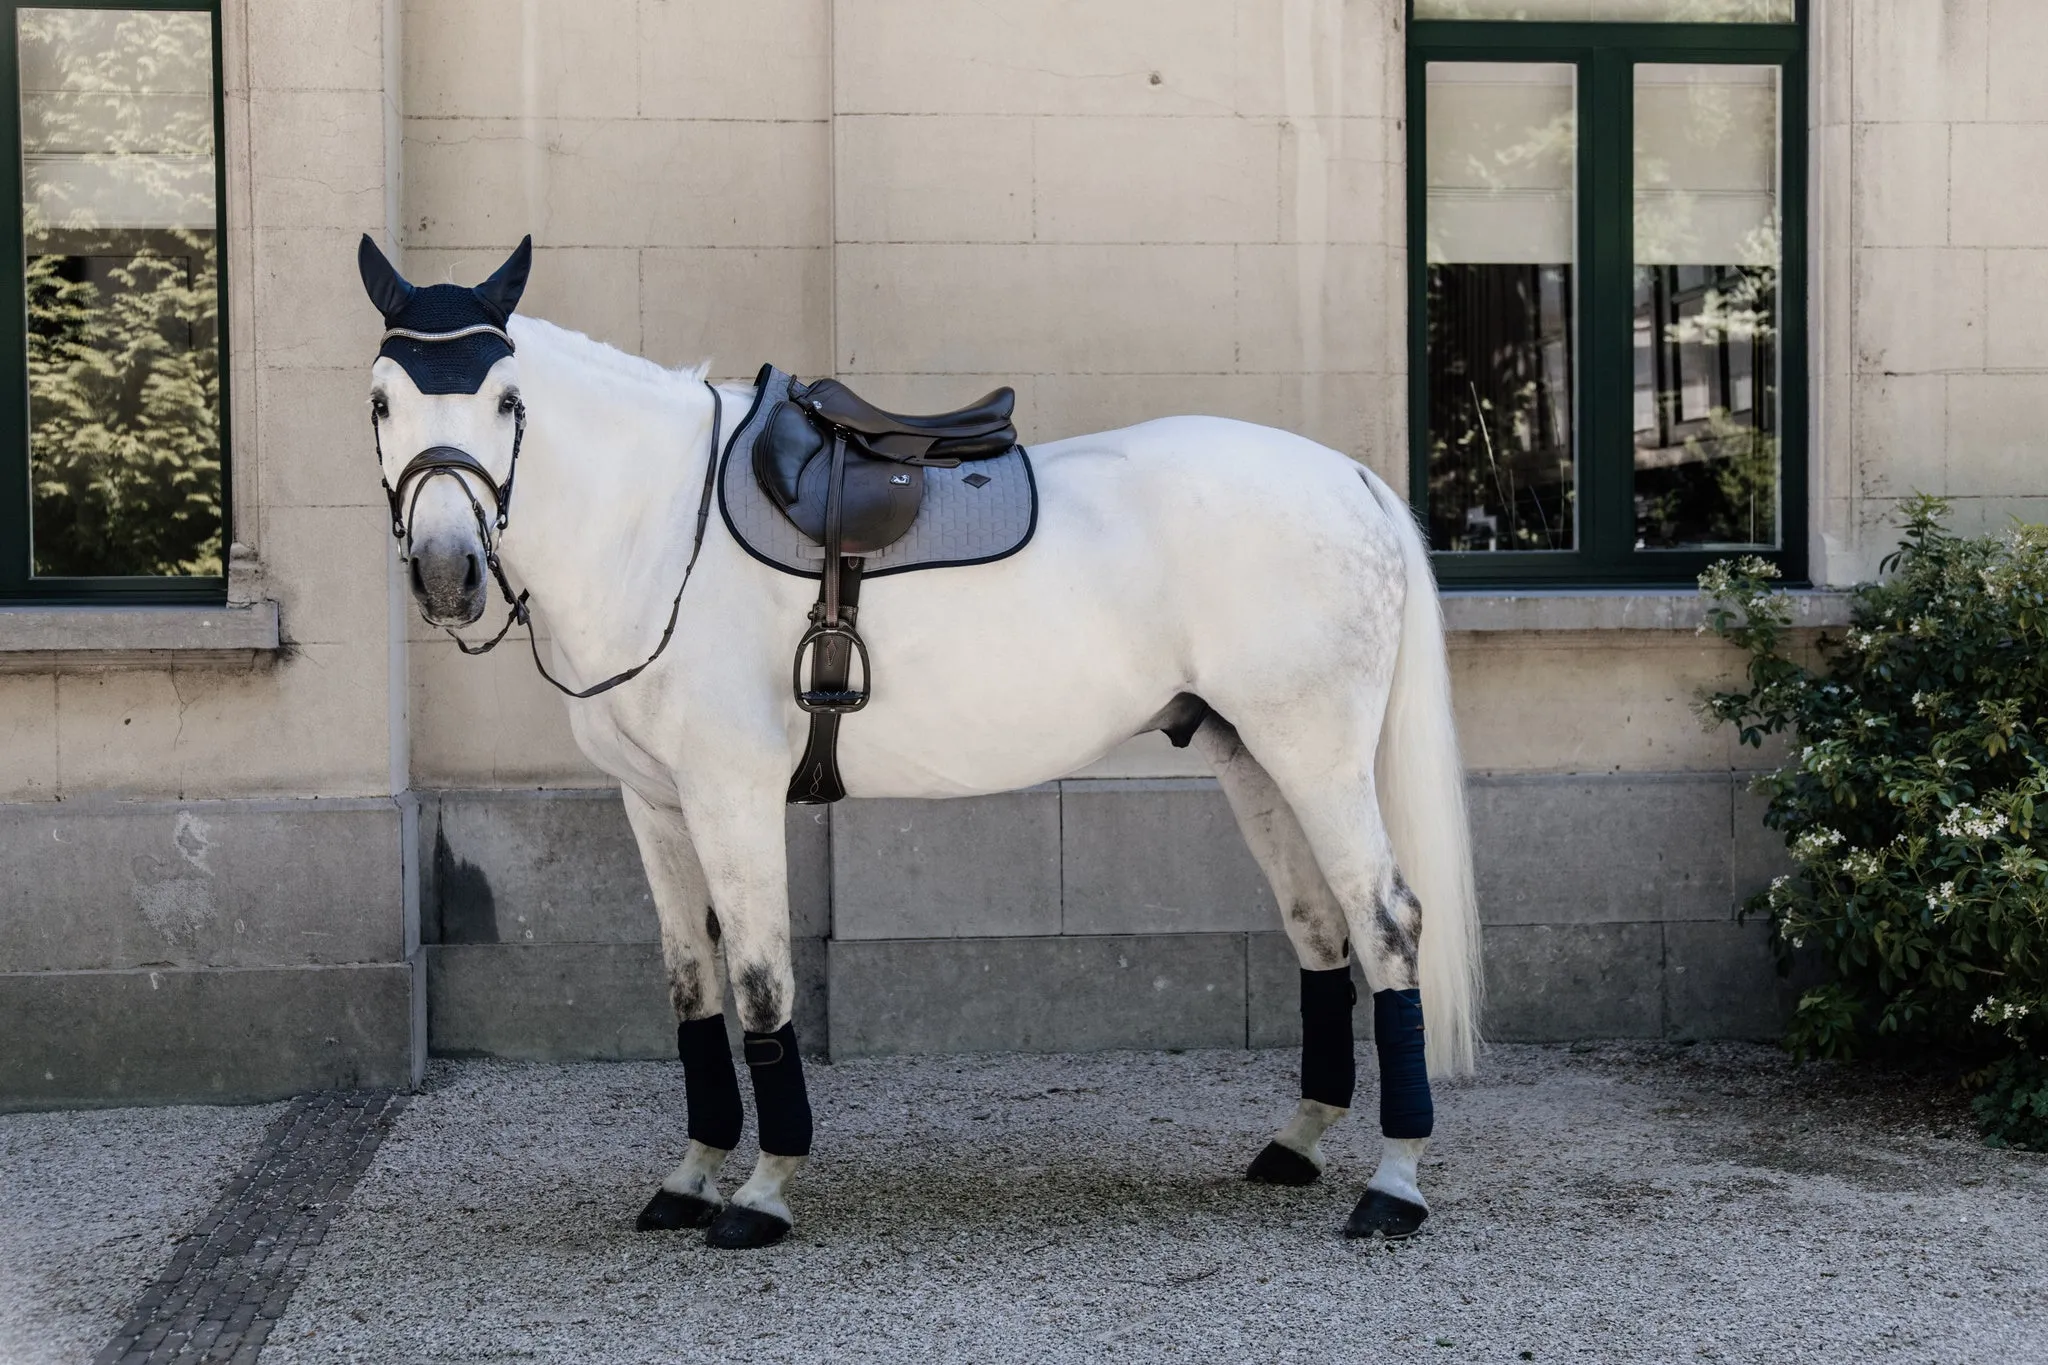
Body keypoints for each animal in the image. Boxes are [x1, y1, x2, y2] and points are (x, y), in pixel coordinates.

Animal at [352, 242, 1474, 1252]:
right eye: (380, 403)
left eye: (507, 400)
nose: (448, 573)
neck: (661, 528)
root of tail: (1352, 479)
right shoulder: (654, 802)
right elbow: (693, 989)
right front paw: (691, 1176)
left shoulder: (729, 793)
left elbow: (759, 982)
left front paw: (763, 1190)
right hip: (1251, 756)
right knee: (1319, 929)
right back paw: (1298, 1142)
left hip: (1315, 752)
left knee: (1387, 923)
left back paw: (1394, 1184)